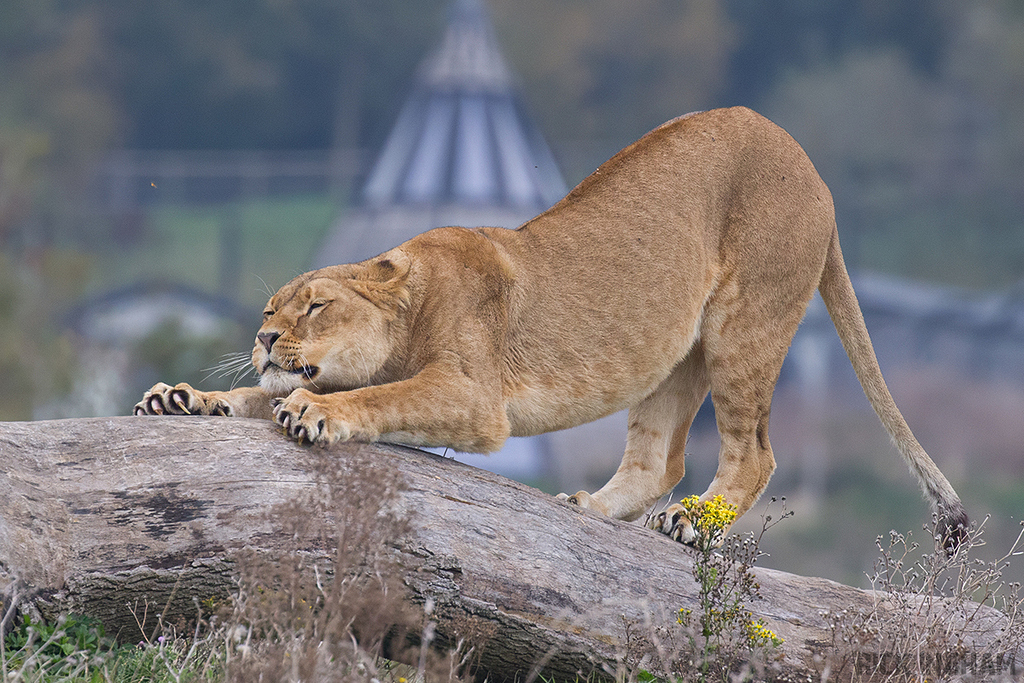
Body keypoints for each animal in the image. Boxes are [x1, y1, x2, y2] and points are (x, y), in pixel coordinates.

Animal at [135, 107, 968, 549]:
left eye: (313, 305)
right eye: (267, 309)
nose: (264, 340)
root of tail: (814, 171)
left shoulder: (472, 396)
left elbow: (374, 398)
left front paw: (314, 411)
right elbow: (256, 399)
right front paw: (185, 398)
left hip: (745, 328)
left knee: (754, 453)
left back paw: (689, 523)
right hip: (674, 353)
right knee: (658, 458)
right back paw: (589, 509)